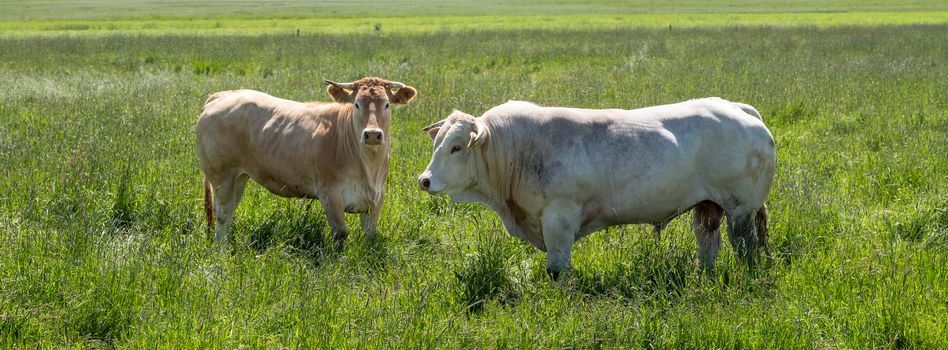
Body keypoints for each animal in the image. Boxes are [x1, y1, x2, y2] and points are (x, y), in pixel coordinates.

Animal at [198, 77, 416, 249]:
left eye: (386, 104)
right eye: (356, 104)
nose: (372, 134)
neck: (369, 166)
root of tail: (222, 95)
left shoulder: (376, 198)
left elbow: (370, 235)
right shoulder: (330, 195)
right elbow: (341, 234)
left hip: (239, 177)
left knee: (229, 212)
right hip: (221, 176)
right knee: (223, 214)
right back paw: (222, 251)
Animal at [418, 98, 772, 276]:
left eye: (456, 147)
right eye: (437, 143)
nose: (424, 180)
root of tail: (739, 108)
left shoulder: (559, 218)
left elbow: (557, 269)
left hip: (741, 210)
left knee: (745, 247)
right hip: (708, 205)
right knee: (708, 242)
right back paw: (703, 275)